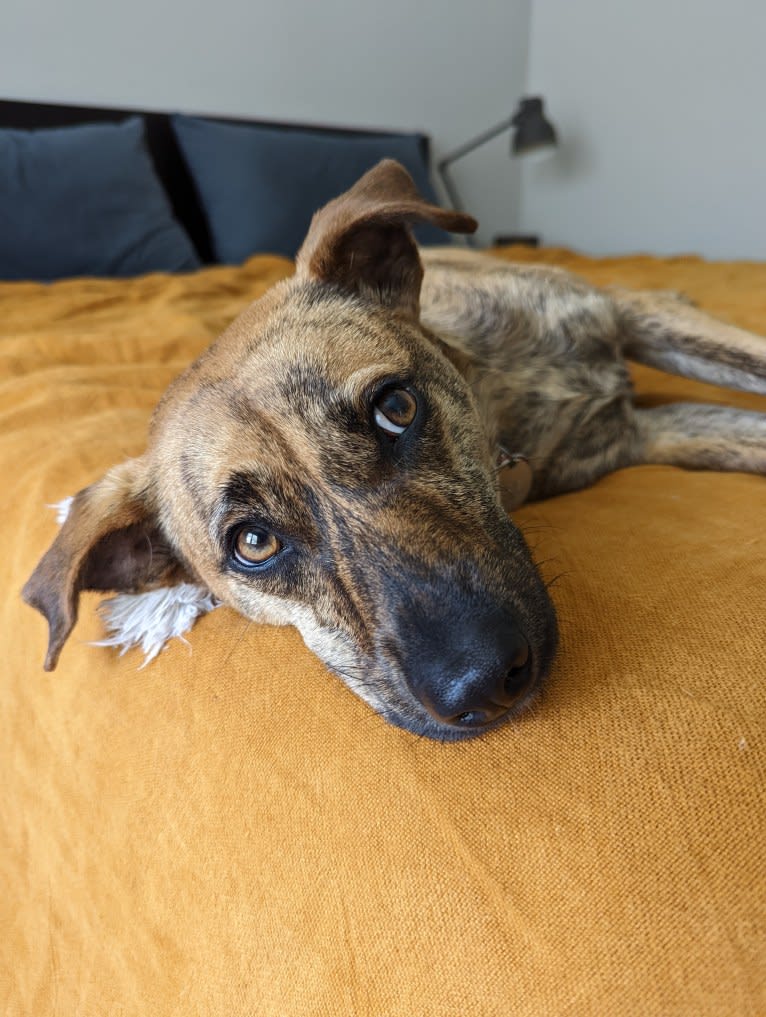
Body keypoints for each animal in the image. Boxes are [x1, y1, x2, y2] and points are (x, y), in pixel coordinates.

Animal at [20, 162, 764, 744]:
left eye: (396, 408)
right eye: (253, 543)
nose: (484, 682)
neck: (505, 409)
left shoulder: (638, 317)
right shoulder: (654, 430)